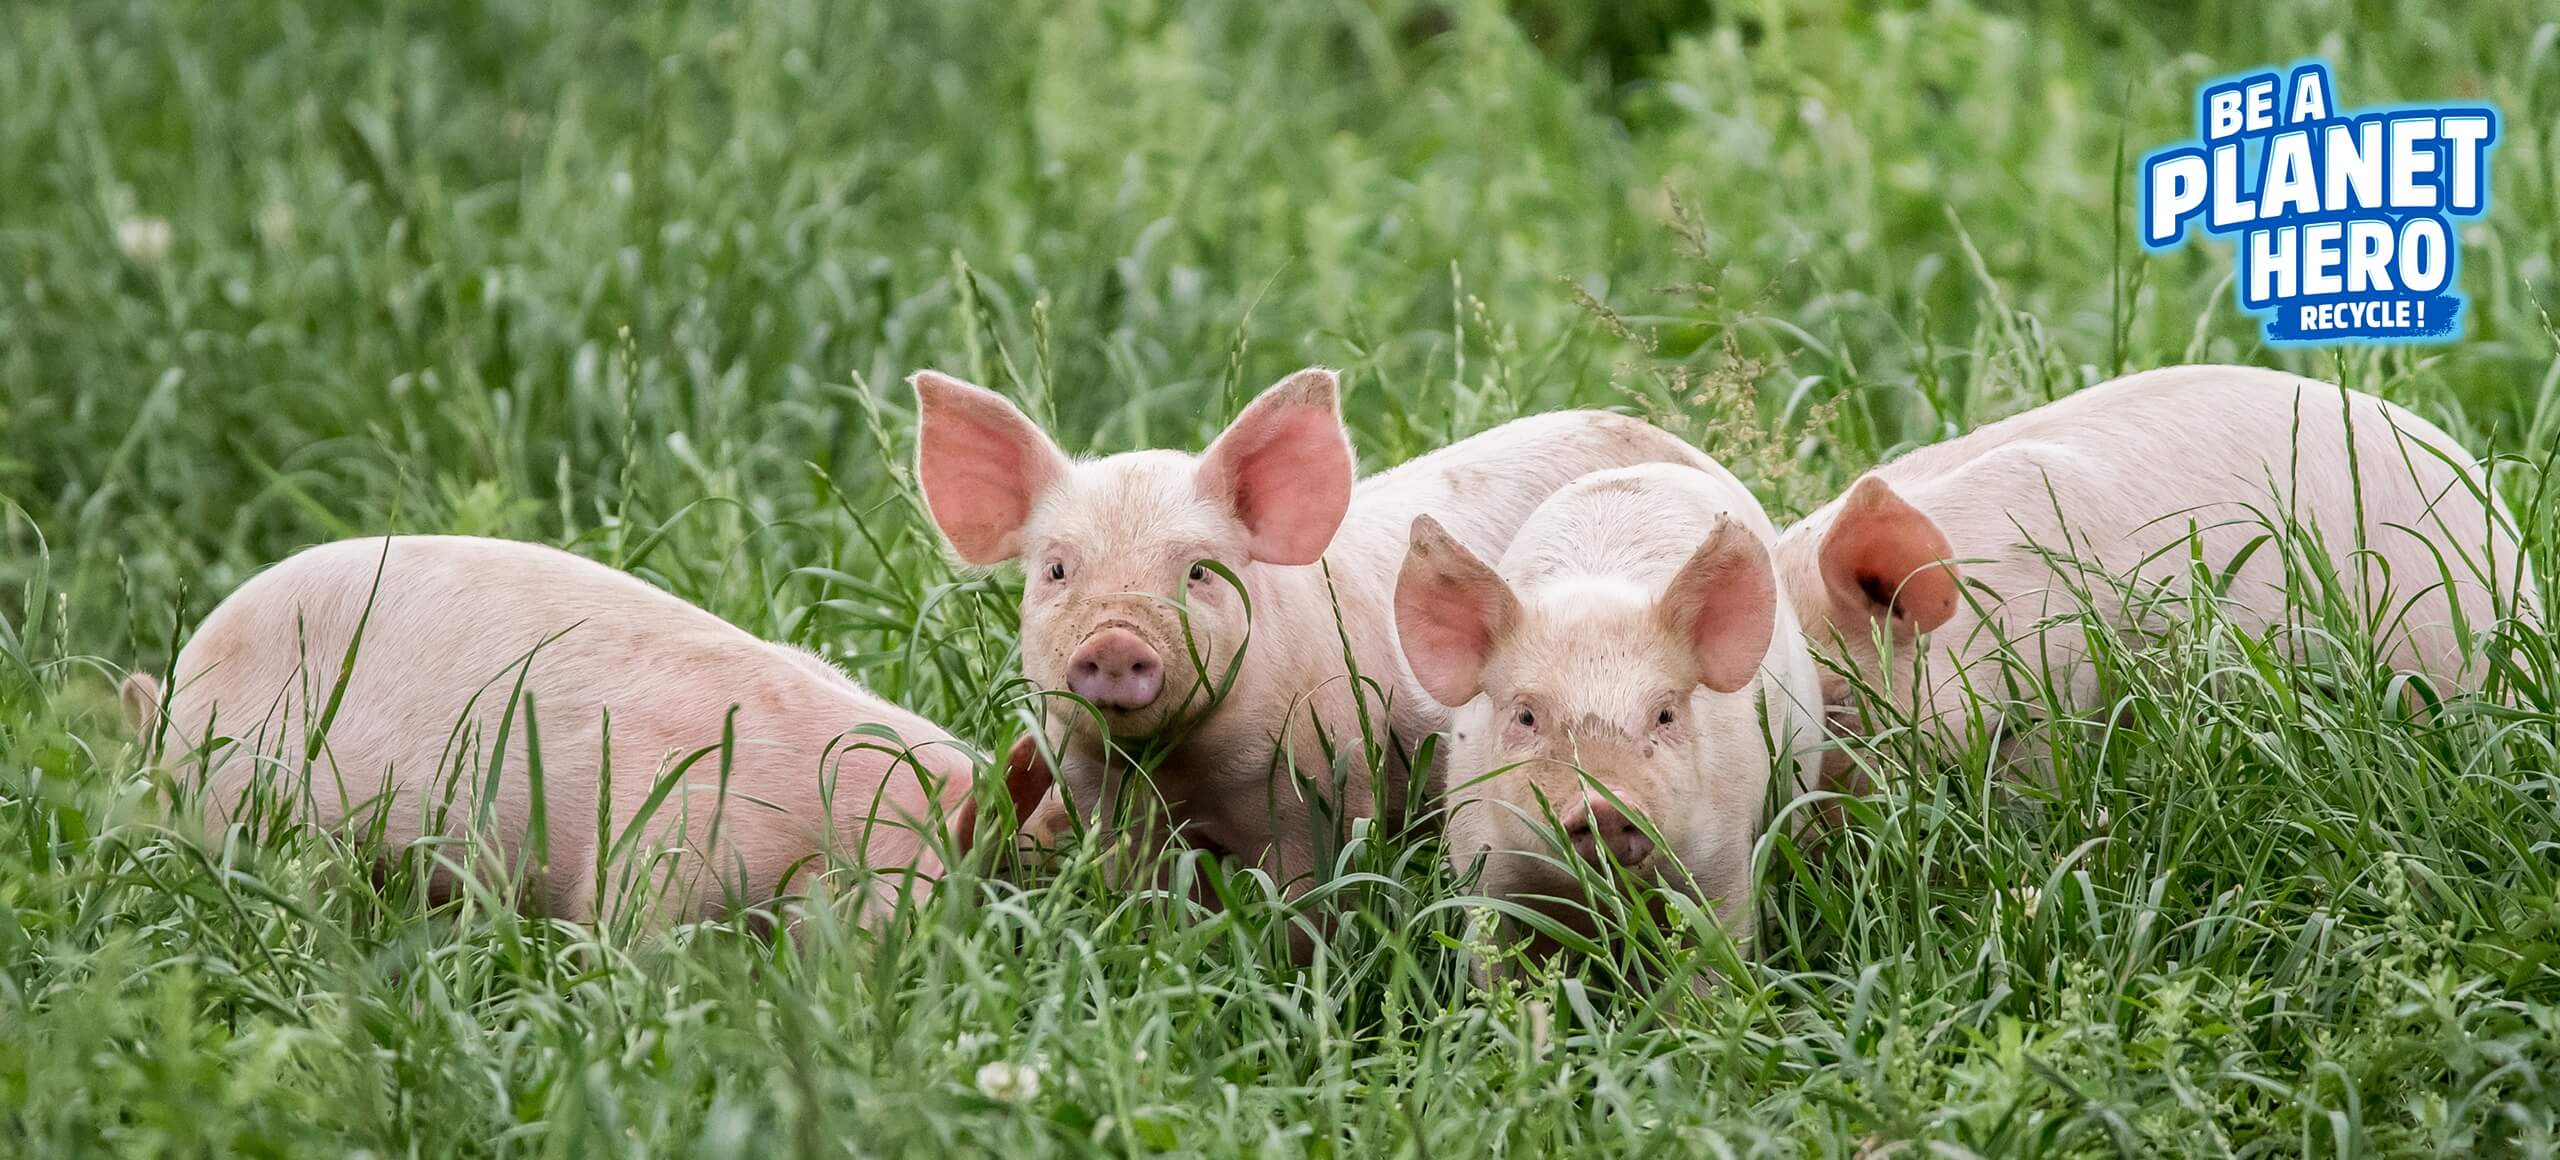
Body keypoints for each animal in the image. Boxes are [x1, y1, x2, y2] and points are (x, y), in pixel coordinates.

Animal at [910, 367, 1717, 890]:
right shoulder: (1099, 798)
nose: (1113, 641)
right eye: (1055, 569)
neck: (1177, 771)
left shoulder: (1323, 787)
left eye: (1199, 572)